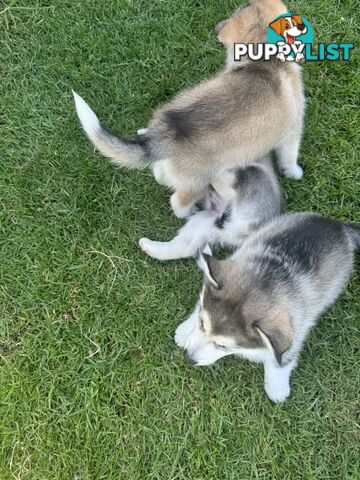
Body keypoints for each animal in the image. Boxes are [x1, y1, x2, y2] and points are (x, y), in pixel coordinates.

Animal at [74, 0, 306, 218]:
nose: (217, 26)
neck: (265, 60)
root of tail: (165, 133)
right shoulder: (293, 131)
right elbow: (290, 156)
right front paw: (294, 173)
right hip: (195, 183)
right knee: (178, 203)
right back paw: (191, 213)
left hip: (169, 166)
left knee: (159, 173)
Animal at [175, 212, 360, 404]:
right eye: (202, 325)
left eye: (223, 346)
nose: (188, 357)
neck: (266, 278)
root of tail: (338, 226)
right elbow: (202, 300)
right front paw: (186, 329)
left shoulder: (296, 326)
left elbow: (281, 360)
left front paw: (276, 387)